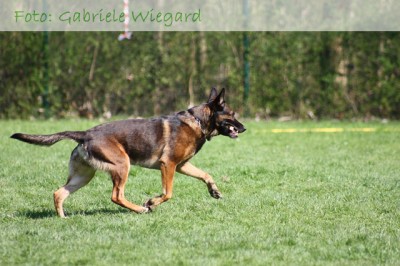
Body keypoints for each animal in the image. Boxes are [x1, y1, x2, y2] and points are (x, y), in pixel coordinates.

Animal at [10, 88, 245, 217]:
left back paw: (63, 218)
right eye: (232, 114)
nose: (243, 128)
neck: (197, 121)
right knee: (116, 195)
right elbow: (168, 193)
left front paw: (214, 191)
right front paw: (151, 202)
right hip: (123, 165)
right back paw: (140, 209)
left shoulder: (181, 166)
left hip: (83, 176)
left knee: (59, 193)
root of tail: (85, 133)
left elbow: (206, 174)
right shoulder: (168, 165)